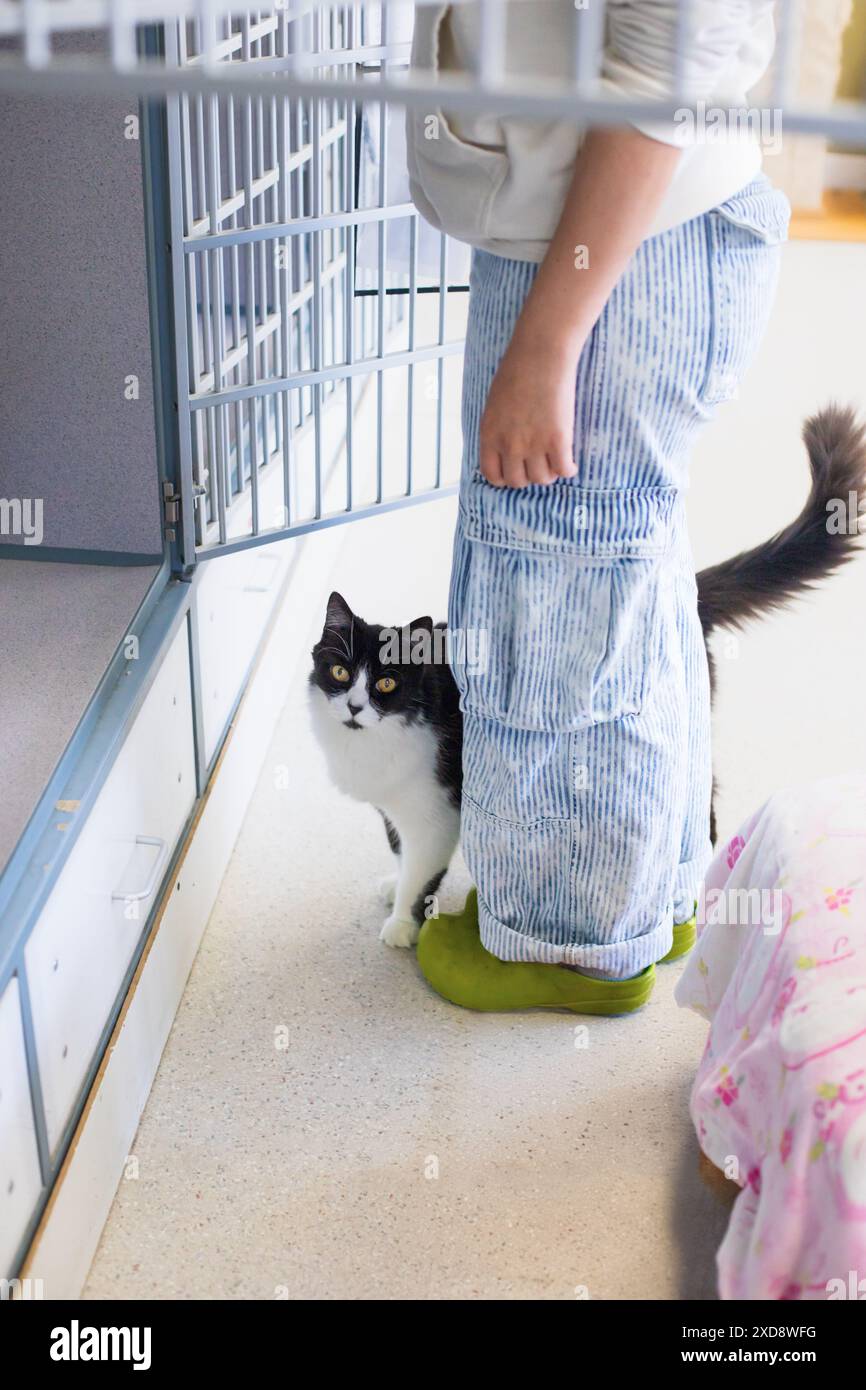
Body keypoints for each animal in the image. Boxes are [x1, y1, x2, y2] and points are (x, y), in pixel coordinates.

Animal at [308, 592, 464, 950]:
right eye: (340, 672)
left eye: (387, 682)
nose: (354, 707)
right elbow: (400, 850)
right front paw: (397, 884)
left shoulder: (437, 817)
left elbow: (420, 873)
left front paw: (403, 923)